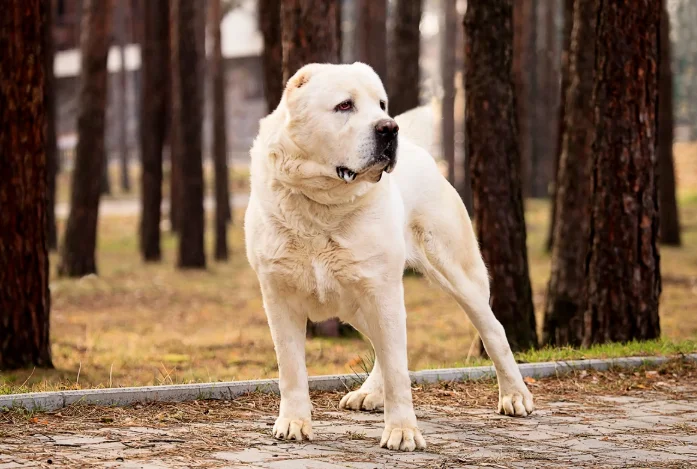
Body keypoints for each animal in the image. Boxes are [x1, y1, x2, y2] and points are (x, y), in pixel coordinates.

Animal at [245, 61, 532, 450]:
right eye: (345, 105)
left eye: (381, 104)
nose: (388, 127)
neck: (322, 205)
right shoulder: (279, 295)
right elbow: (290, 368)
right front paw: (293, 422)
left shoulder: (381, 291)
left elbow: (398, 369)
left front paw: (402, 431)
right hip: (356, 301)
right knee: (382, 345)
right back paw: (368, 394)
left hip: (455, 274)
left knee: (493, 331)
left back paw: (515, 396)